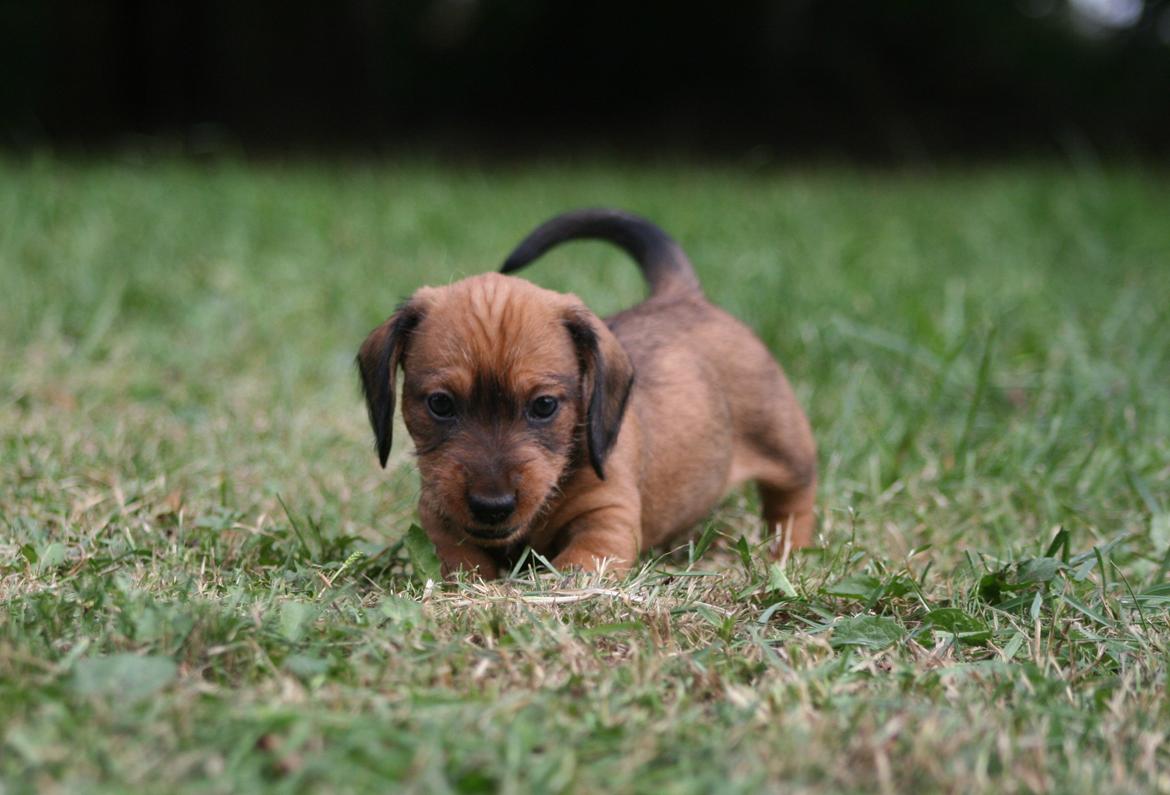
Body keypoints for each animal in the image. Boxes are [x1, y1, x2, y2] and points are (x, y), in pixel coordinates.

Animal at [355, 208, 814, 578]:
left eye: (544, 406)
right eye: (440, 404)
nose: (492, 505)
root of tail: (683, 295)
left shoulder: (607, 519)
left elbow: (579, 564)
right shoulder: (438, 513)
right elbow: (459, 559)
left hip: (784, 443)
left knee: (794, 496)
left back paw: (788, 547)